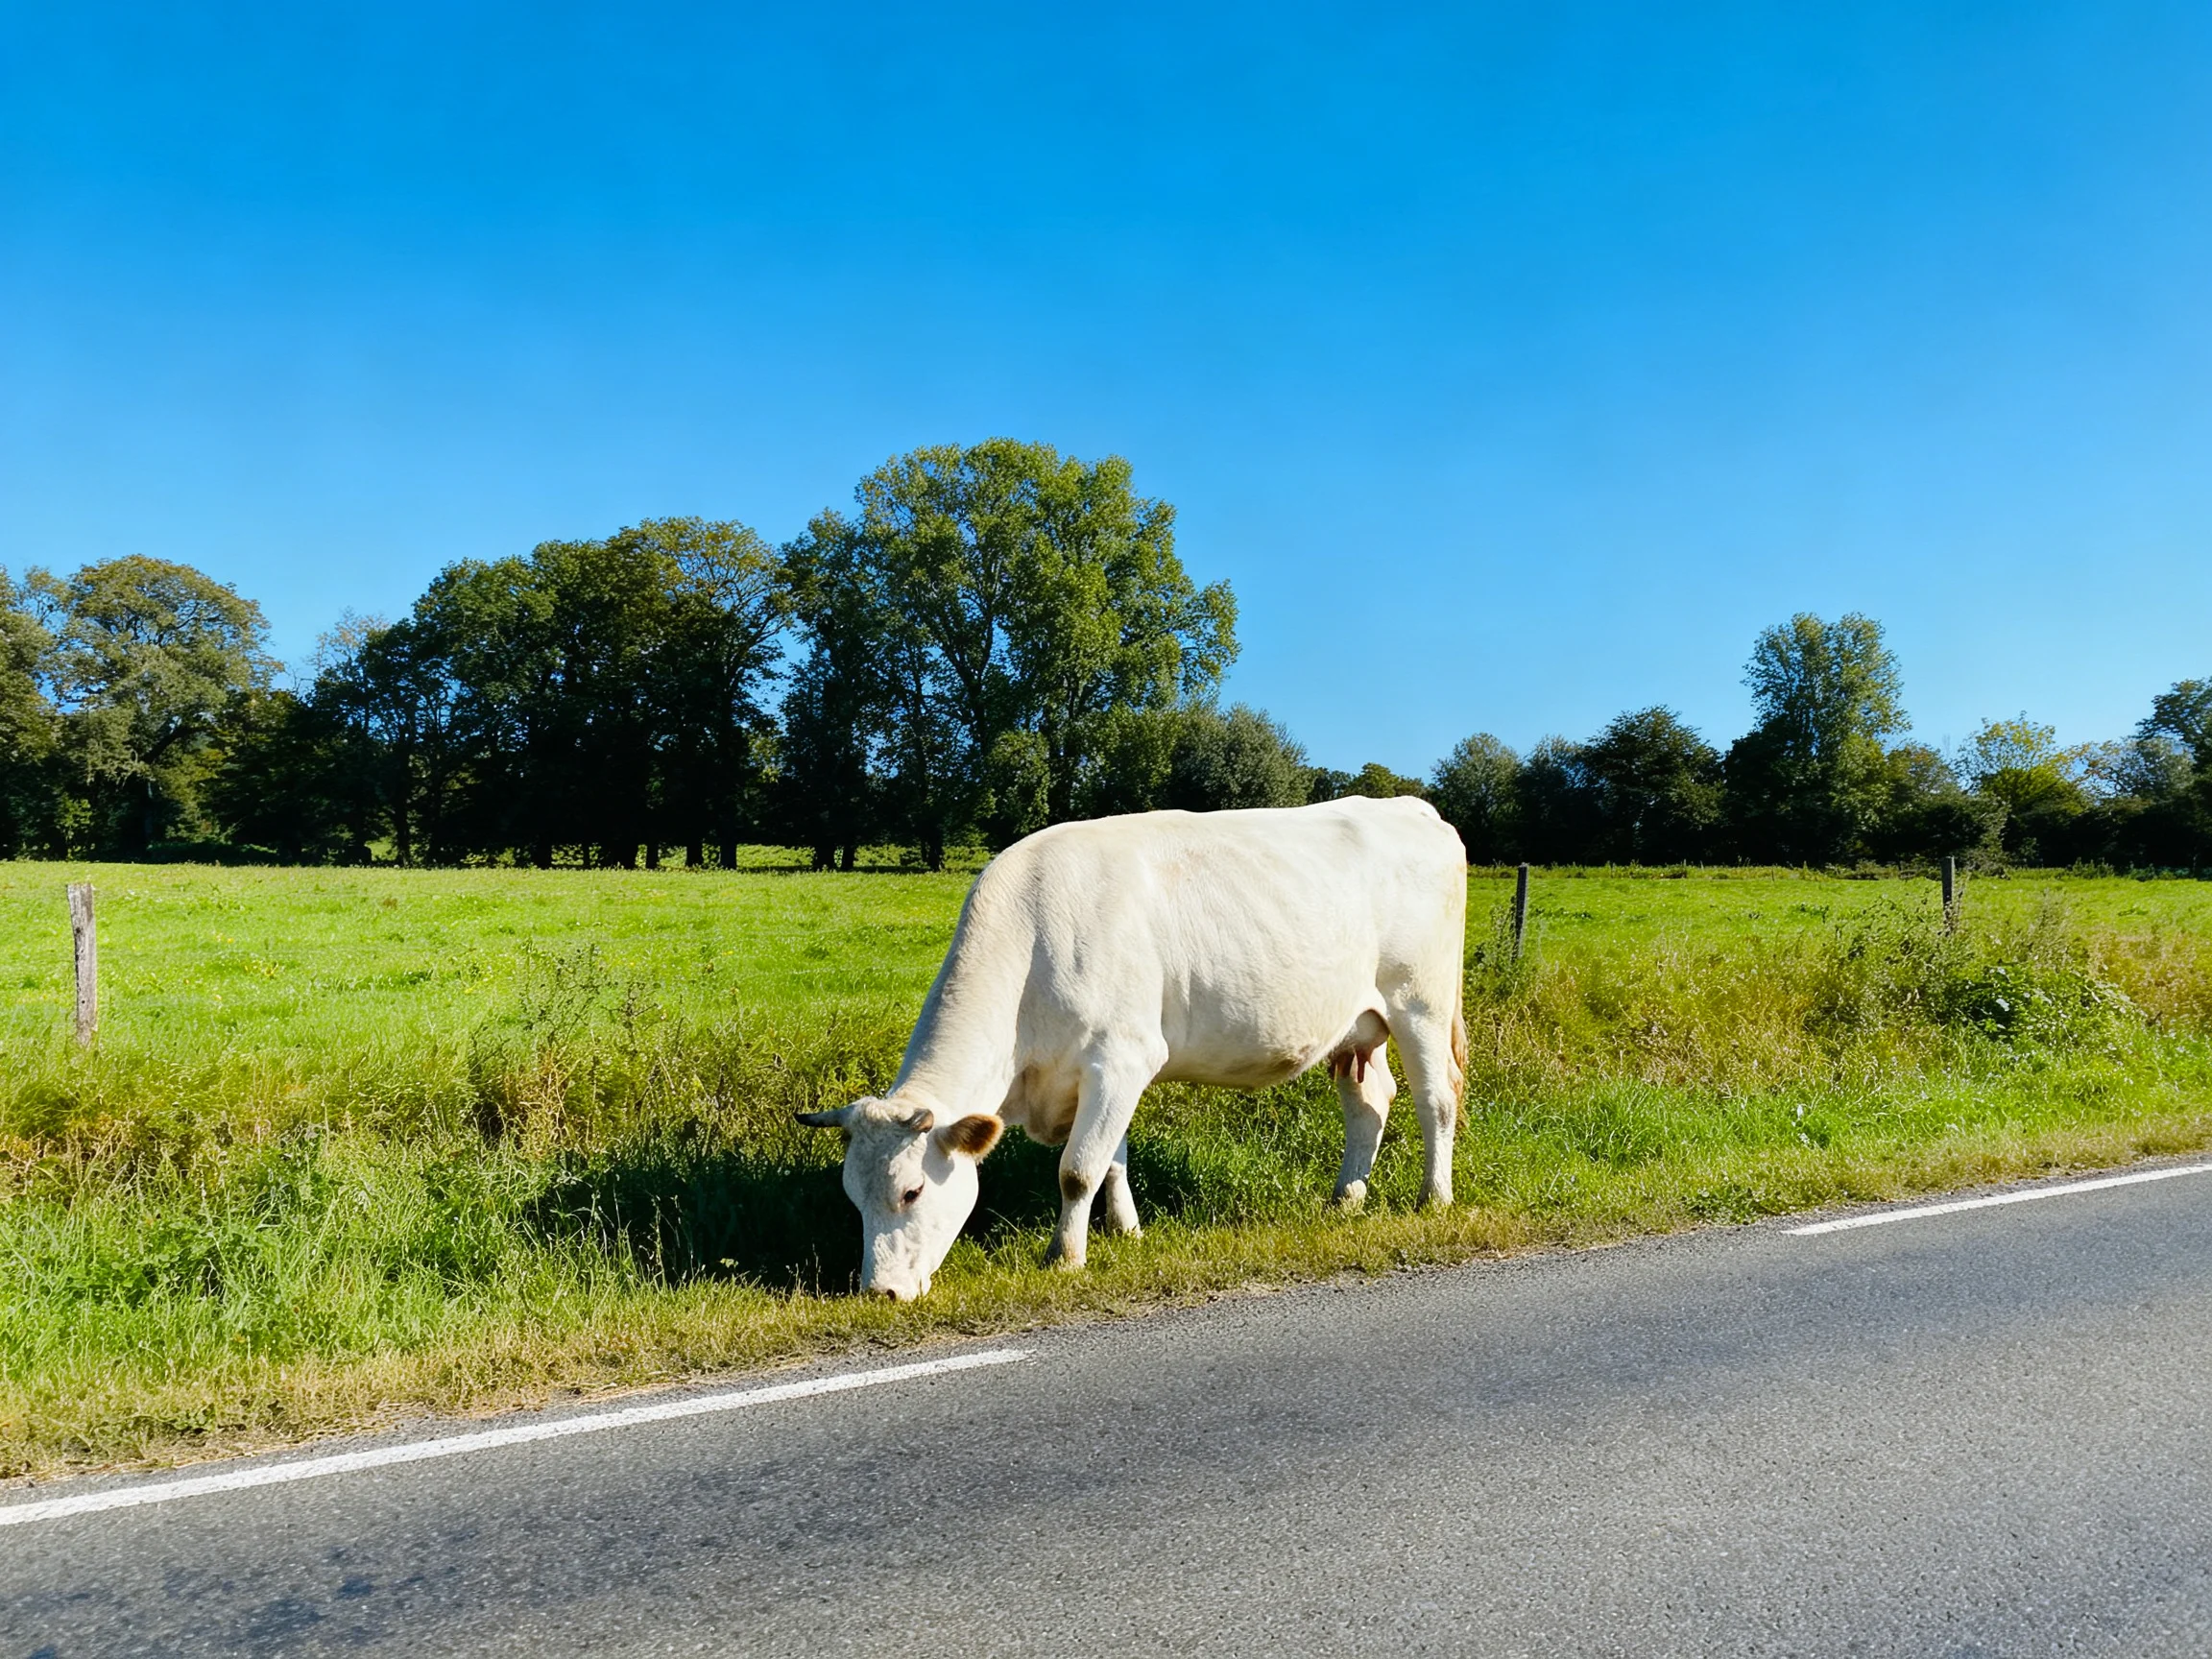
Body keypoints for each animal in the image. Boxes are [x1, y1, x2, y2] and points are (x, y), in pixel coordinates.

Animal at [797, 795, 1469, 1300]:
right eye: (851, 1196)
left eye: (911, 1191)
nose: (878, 1292)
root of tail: (1408, 805)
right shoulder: (1101, 1073)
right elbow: (1111, 1159)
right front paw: (1126, 1233)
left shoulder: (1122, 1056)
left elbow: (1077, 1169)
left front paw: (1065, 1257)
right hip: (1357, 1025)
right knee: (1370, 1104)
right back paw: (1346, 1199)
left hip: (1421, 1001)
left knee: (1436, 1099)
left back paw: (1433, 1199)